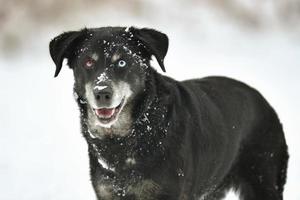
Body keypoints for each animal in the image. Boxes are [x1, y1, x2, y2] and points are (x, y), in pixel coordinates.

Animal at [49, 27, 288, 200]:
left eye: (122, 61)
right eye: (88, 62)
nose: (102, 93)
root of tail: (267, 105)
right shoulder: (108, 193)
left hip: (263, 182)